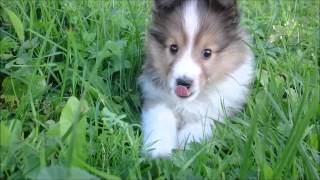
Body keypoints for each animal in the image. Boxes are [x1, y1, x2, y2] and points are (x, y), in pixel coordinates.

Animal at [139, 0, 254, 158]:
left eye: (207, 52)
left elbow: (198, 127)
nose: (183, 82)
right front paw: (160, 153)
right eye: (173, 47)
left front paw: (184, 150)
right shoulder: (157, 97)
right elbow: (161, 121)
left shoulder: (218, 109)